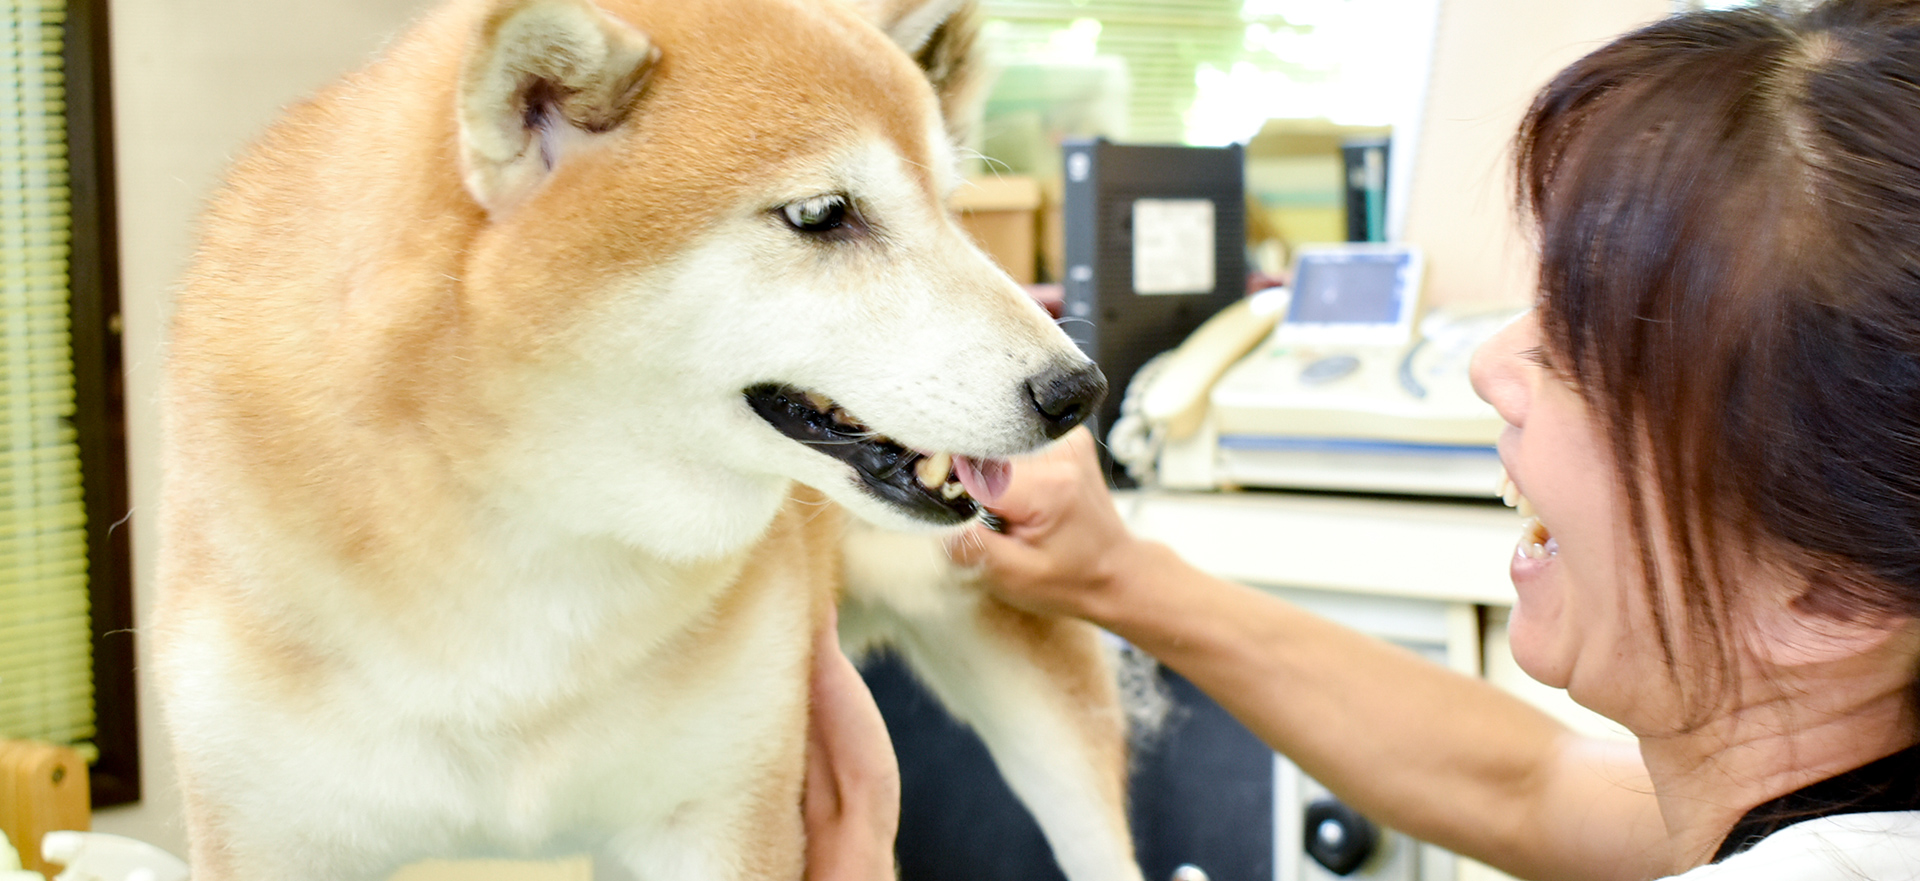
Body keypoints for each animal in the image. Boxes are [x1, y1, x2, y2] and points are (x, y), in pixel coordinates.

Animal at [157, 0, 1136, 879]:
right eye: (821, 214)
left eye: (949, 207)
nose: (1077, 391)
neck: (533, 543)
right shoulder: (265, 830)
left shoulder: (724, 811)